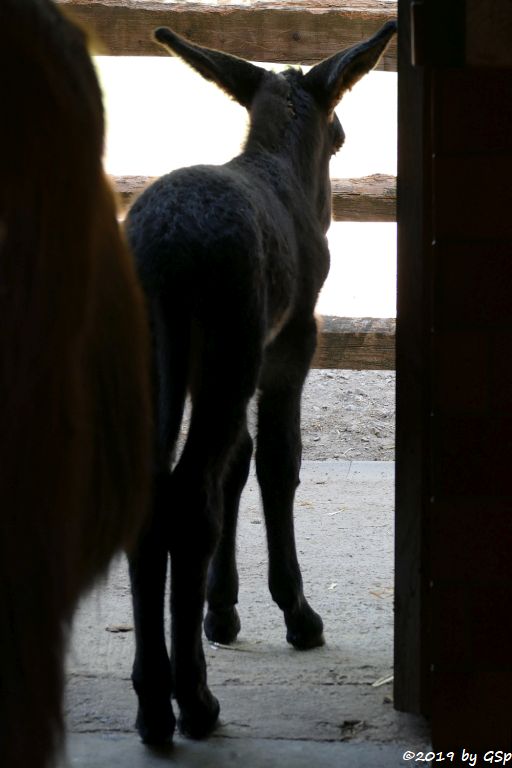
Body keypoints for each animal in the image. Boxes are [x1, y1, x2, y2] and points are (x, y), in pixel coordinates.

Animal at [126, 21, 398, 748]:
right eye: (339, 135)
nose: (341, 135)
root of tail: (165, 253)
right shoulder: (292, 338)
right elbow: (278, 462)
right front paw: (296, 614)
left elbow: (240, 462)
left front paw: (222, 612)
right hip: (231, 342)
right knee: (190, 497)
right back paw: (193, 702)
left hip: (160, 359)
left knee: (154, 493)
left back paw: (152, 703)